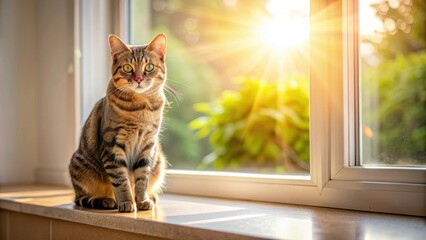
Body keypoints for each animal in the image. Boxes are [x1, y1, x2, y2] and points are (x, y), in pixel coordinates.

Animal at [69, 33, 167, 212]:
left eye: (149, 67)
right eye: (127, 68)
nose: (138, 79)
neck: (141, 108)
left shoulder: (147, 146)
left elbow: (142, 179)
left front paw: (142, 200)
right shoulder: (113, 146)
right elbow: (121, 180)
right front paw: (126, 202)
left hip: (159, 160)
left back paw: (149, 197)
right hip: (79, 164)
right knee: (83, 197)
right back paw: (107, 200)